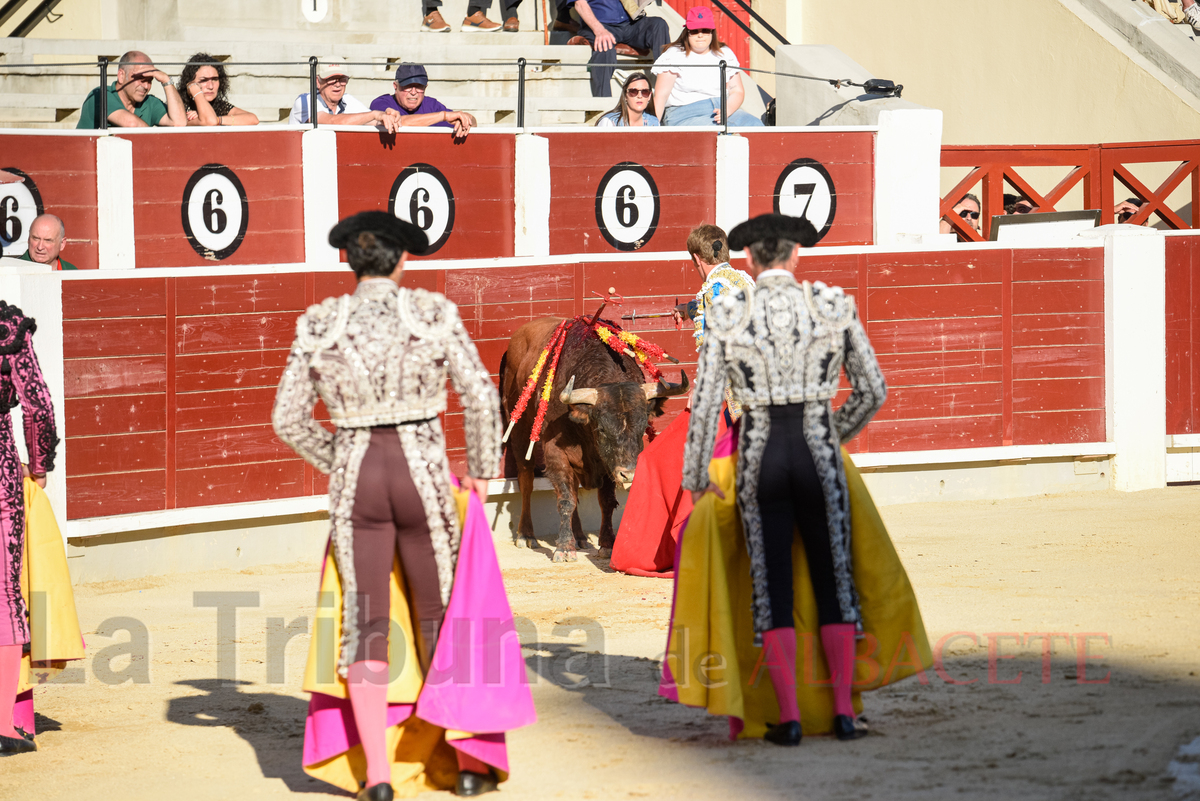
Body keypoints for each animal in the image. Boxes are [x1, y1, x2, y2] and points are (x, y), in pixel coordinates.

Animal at [494, 316, 686, 561]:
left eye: (643, 427)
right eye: (602, 429)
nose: (629, 475)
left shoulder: (607, 462)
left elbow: (605, 501)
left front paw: (607, 544)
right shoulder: (555, 452)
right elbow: (565, 499)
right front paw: (564, 548)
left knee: (575, 488)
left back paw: (580, 537)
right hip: (518, 424)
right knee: (526, 478)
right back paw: (526, 535)